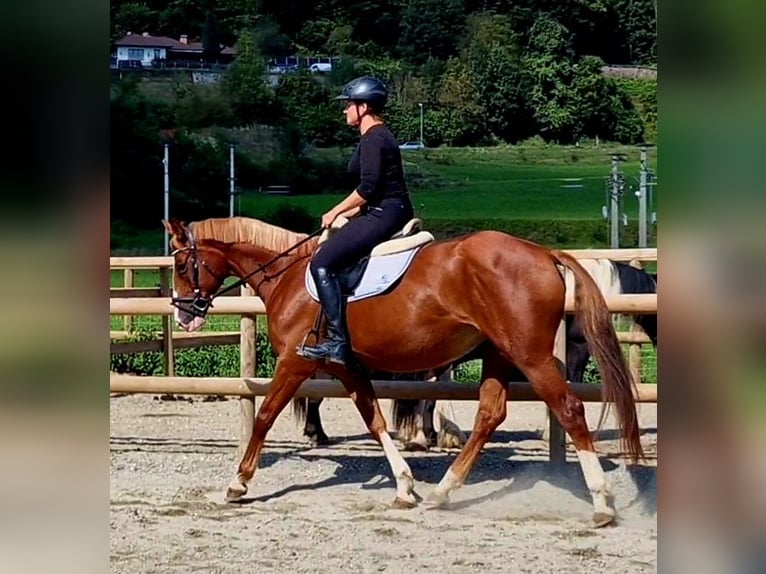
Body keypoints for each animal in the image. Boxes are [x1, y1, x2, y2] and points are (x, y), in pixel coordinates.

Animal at [165, 218, 644, 528]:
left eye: (180, 264)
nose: (185, 315)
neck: (290, 275)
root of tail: (543, 252)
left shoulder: (296, 362)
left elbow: (264, 417)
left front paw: (237, 484)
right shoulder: (344, 364)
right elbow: (373, 418)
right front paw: (404, 486)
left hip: (529, 355)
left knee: (569, 408)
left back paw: (602, 504)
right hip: (499, 354)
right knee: (490, 413)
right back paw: (442, 492)